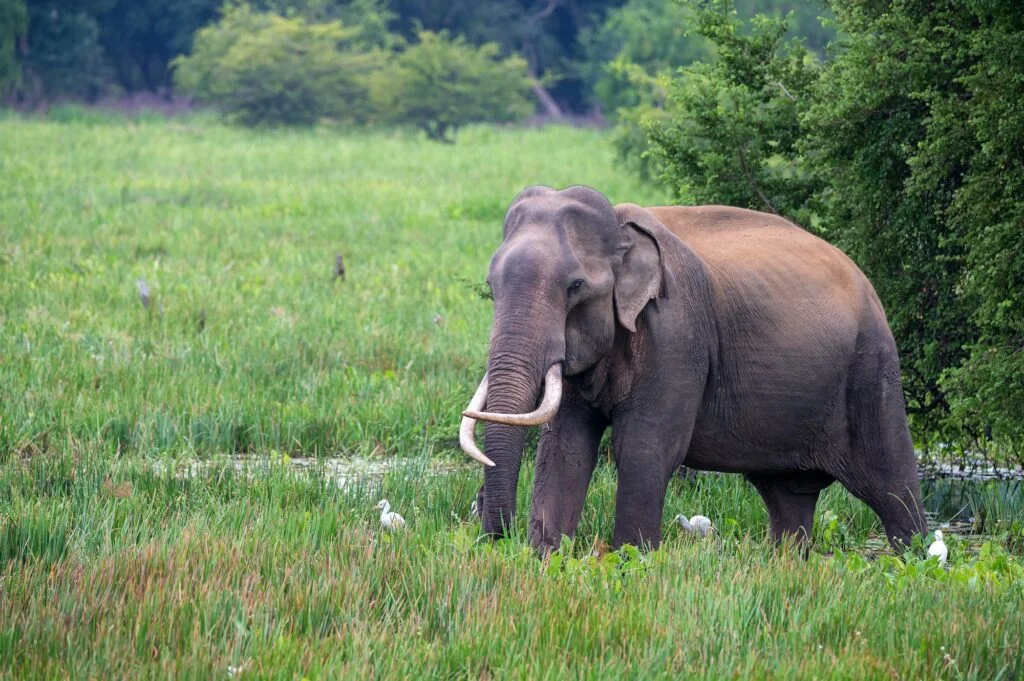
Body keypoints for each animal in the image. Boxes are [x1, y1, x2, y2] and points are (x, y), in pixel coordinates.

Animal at [460, 182, 933, 552]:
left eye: (575, 287)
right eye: (491, 285)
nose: (497, 538)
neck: (619, 228)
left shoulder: (678, 335)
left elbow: (644, 447)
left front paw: (630, 560)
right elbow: (566, 450)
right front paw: (546, 559)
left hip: (871, 366)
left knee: (893, 487)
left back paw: (915, 560)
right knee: (788, 497)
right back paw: (788, 562)